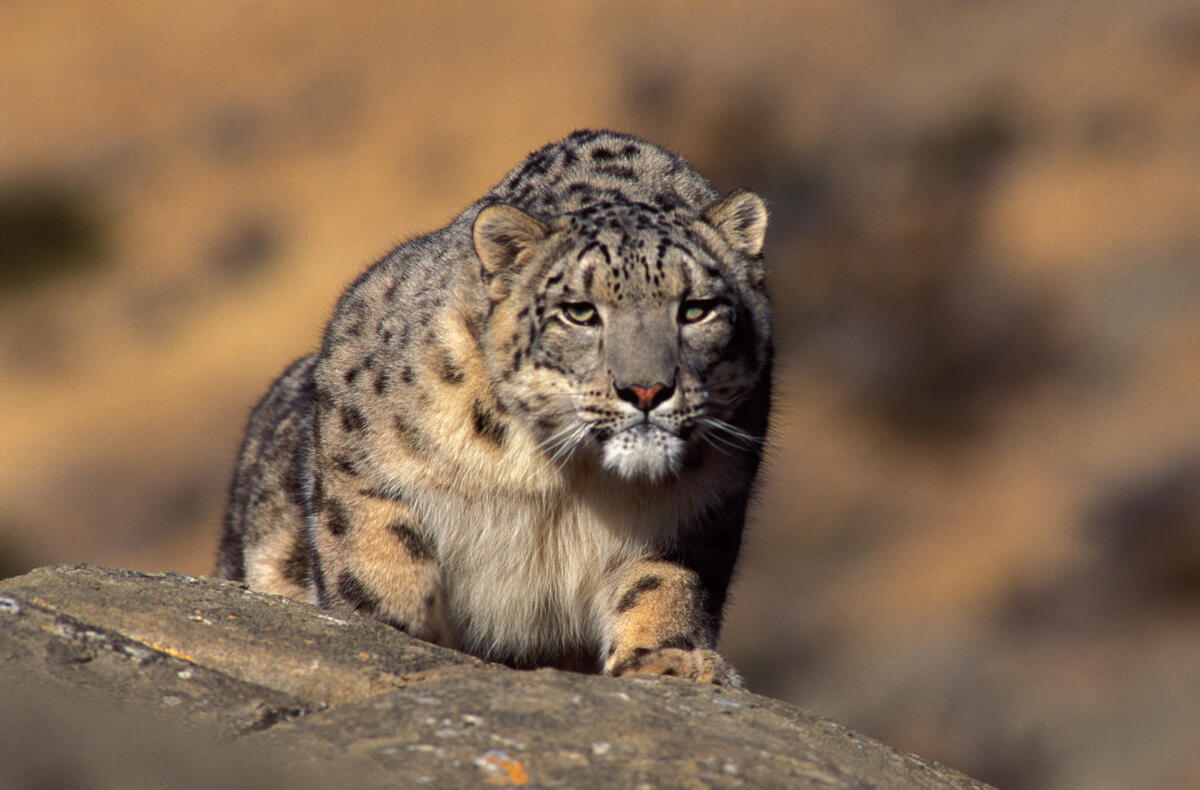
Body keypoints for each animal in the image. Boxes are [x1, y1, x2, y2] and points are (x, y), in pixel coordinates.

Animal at [217, 130, 772, 686]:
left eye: (696, 309)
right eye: (579, 312)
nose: (646, 390)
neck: (571, 479)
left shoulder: (697, 509)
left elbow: (663, 581)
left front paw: (669, 660)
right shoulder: (360, 456)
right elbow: (375, 551)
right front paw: (389, 628)